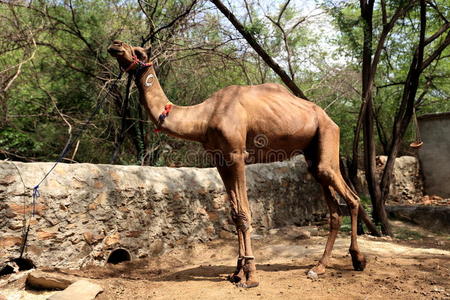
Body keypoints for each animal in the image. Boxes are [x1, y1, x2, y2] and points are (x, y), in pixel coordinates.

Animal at [108, 39, 366, 288]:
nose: (115, 45)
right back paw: (319, 267)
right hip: (313, 156)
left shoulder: (237, 155)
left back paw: (358, 260)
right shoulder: (221, 159)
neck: (204, 117)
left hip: (327, 137)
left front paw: (250, 275)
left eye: (139, 51)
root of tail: (329, 118)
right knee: (334, 210)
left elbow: (243, 213)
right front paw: (237, 272)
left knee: (352, 199)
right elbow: (234, 214)